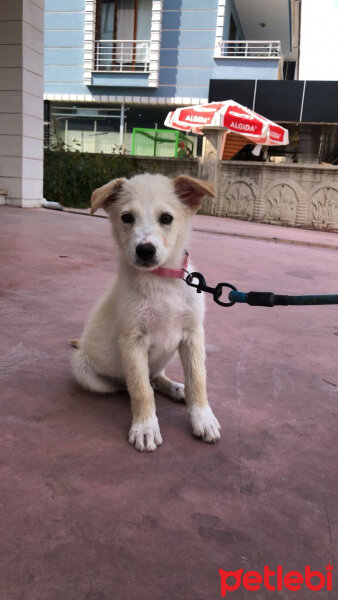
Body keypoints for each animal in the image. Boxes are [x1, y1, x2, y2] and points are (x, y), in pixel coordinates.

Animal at [71, 173, 220, 450]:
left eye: (167, 218)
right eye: (127, 217)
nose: (145, 250)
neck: (160, 280)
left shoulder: (193, 334)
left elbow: (197, 380)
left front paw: (203, 418)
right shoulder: (132, 341)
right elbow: (141, 390)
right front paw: (145, 427)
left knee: (156, 376)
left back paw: (176, 389)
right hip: (83, 368)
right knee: (130, 384)